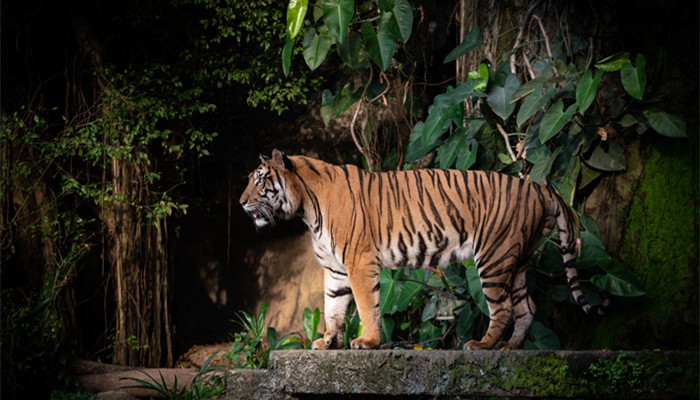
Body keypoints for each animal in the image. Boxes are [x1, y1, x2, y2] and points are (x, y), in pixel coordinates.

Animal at [239, 149, 603, 350]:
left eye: (259, 180)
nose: (241, 203)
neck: (307, 208)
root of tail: (537, 187)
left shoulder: (358, 263)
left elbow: (365, 306)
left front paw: (367, 342)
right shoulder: (335, 269)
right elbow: (333, 308)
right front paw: (327, 341)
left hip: (494, 256)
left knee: (504, 309)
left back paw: (482, 345)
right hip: (519, 259)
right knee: (527, 306)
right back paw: (509, 349)